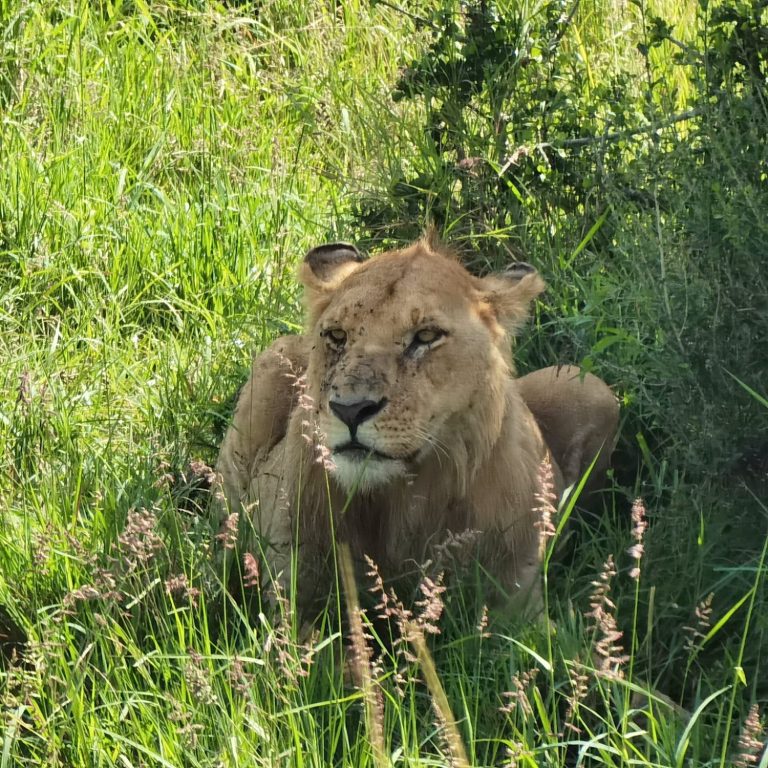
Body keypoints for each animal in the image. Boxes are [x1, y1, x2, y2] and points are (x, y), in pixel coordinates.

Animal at [213, 238, 620, 616]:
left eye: (426, 336)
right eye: (337, 336)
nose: (350, 409)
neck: (406, 497)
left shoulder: (518, 601)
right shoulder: (297, 595)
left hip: (588, 385)